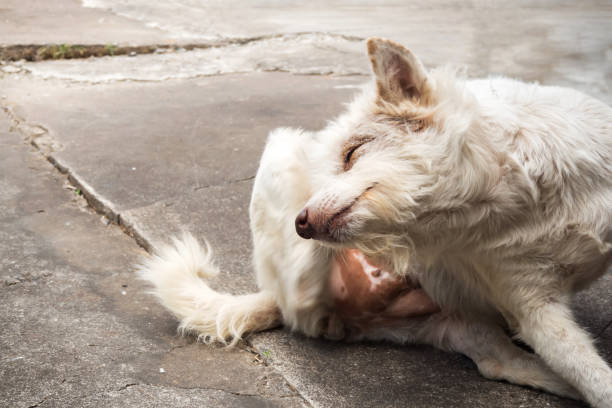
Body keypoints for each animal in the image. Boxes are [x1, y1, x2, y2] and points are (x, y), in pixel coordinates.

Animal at [139, 37, 612, 404]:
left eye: (352, 153)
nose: (301, 223)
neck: (518, 202)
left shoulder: (538, 311)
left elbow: (595, 380)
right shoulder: (536, 310)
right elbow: (594, 378)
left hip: (460, 326)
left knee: (505, 363)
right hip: (285, 150)